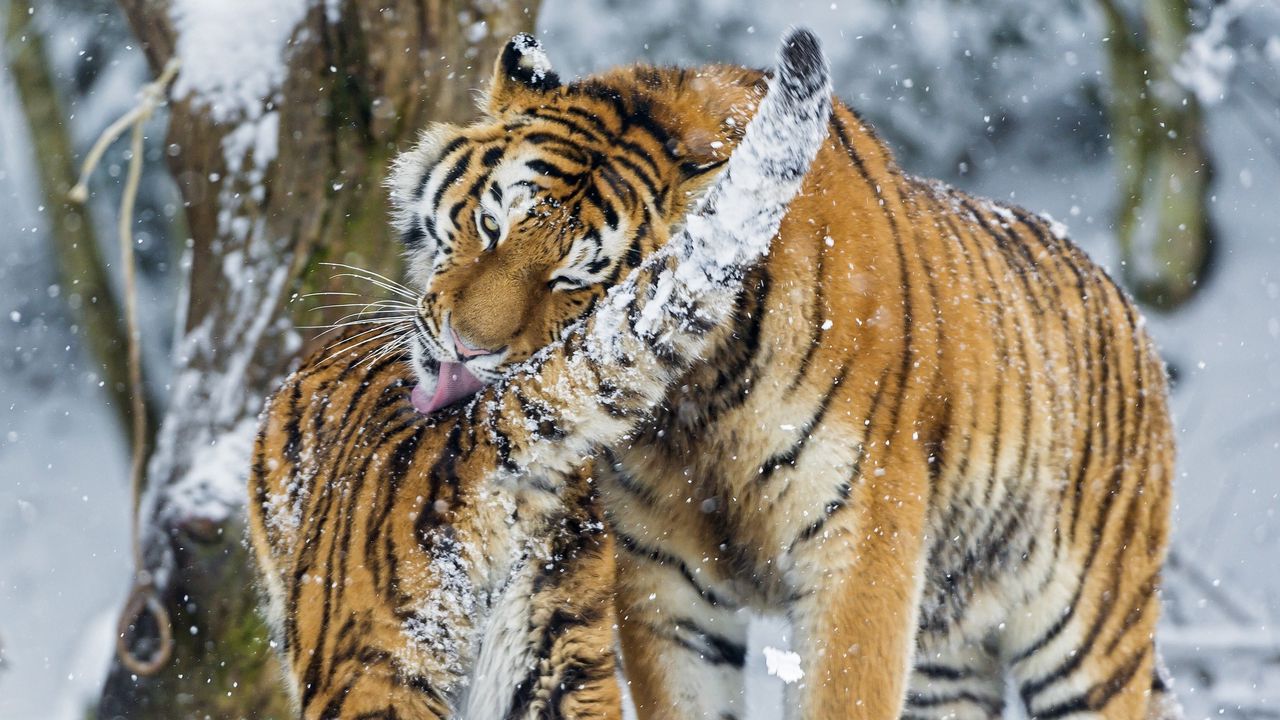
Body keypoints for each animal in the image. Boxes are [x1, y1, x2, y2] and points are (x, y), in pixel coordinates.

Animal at [245, 32, 834, 717]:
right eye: (489, 225)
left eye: (572, 279)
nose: (467, 348)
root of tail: (481, 433)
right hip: (556, 652)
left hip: (377, 658)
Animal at [384, 23, 1182, 717]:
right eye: (490, 225)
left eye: (580, 278)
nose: (465, 347)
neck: (690, 411)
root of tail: (1127, 309)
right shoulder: (659, 577)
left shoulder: (861, 557)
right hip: (947, 656)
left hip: (1087, 633)